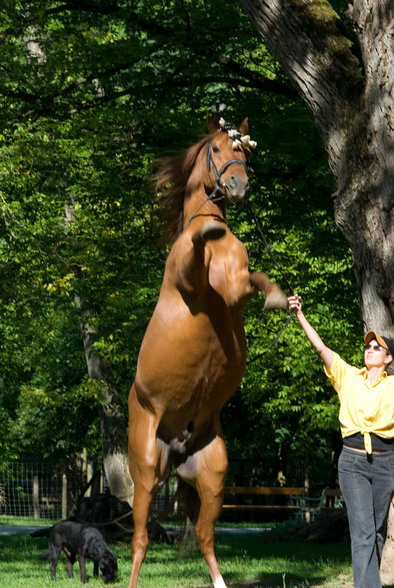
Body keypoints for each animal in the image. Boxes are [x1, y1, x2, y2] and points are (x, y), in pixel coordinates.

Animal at [129, 115, 286, 588]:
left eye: (244, 151)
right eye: (216, 149)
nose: (238, 185)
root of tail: (178, 445)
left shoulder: (235, 290)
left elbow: (256, 279)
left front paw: (278, 296)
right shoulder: (193, 284)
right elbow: (201, 250)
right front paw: (207, 229)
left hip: (213, 473)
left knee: (203, 535)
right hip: (145, 468)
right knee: (139, 540)